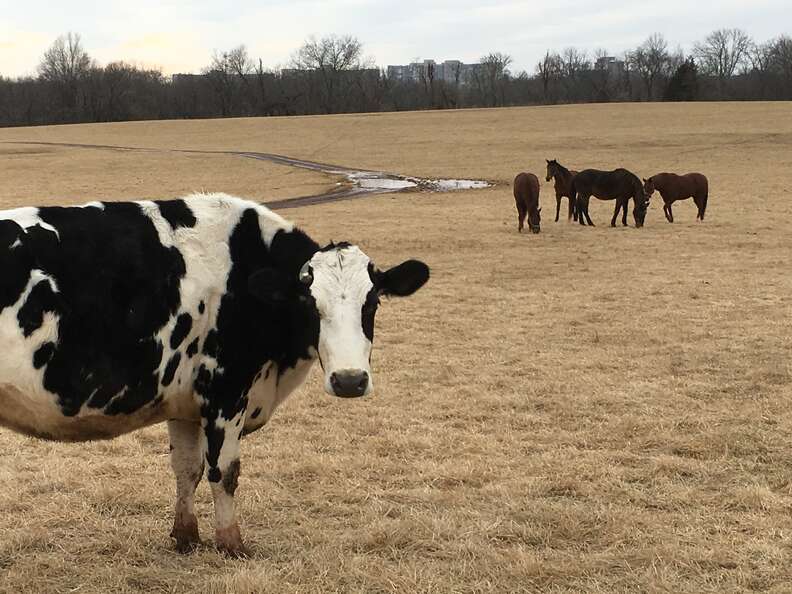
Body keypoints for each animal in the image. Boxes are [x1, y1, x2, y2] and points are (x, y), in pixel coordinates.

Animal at [0, 192, 430, 552]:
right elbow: (224, 472)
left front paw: (186, 537)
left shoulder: (183, 401)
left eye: (372, 302)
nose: (350, 380)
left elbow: (185, 469)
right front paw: (231, 543)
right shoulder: (226, 392)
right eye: (310, 302)